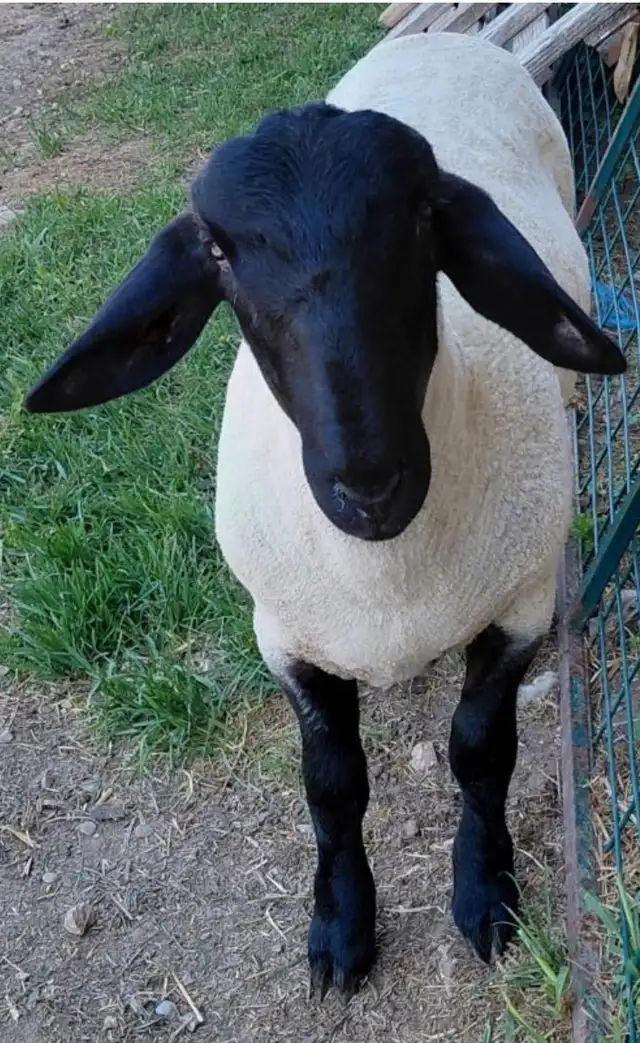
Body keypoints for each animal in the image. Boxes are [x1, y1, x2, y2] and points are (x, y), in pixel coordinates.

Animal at [25, 30, 625, 999]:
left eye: (423, 219)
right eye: (219, 252)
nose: (369, 482)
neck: (388, 575)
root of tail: (445, 34)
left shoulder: (520, 606)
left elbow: (479, 751)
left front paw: (484, 890)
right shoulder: (285, 635)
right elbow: (333, 783)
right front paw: (341, 927)